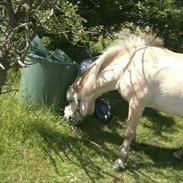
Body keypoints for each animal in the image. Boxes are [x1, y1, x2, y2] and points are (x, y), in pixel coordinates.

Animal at [64, 33, 183, 172]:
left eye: (70, 100)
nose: (66, 116)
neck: (129, 67)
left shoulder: (137, 104)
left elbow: (128, 133)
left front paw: (120, 162)